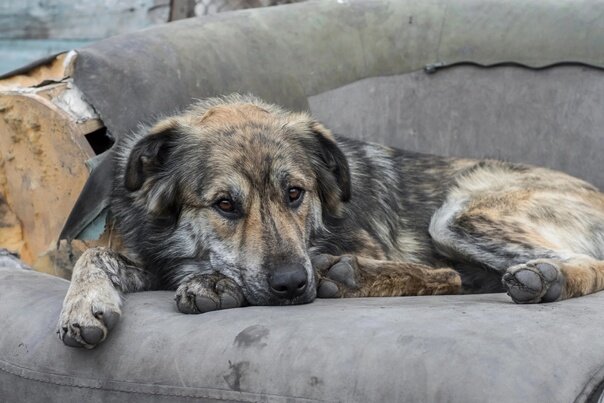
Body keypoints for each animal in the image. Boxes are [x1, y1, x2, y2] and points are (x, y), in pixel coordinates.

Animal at [56, 95, 604, 350]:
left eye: (295, 193)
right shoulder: (148, 257)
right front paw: (82, 307)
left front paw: (210, 282)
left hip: (457, 216)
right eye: (225, 205)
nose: (291, 284)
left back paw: (547, 279)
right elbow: (95, 255)